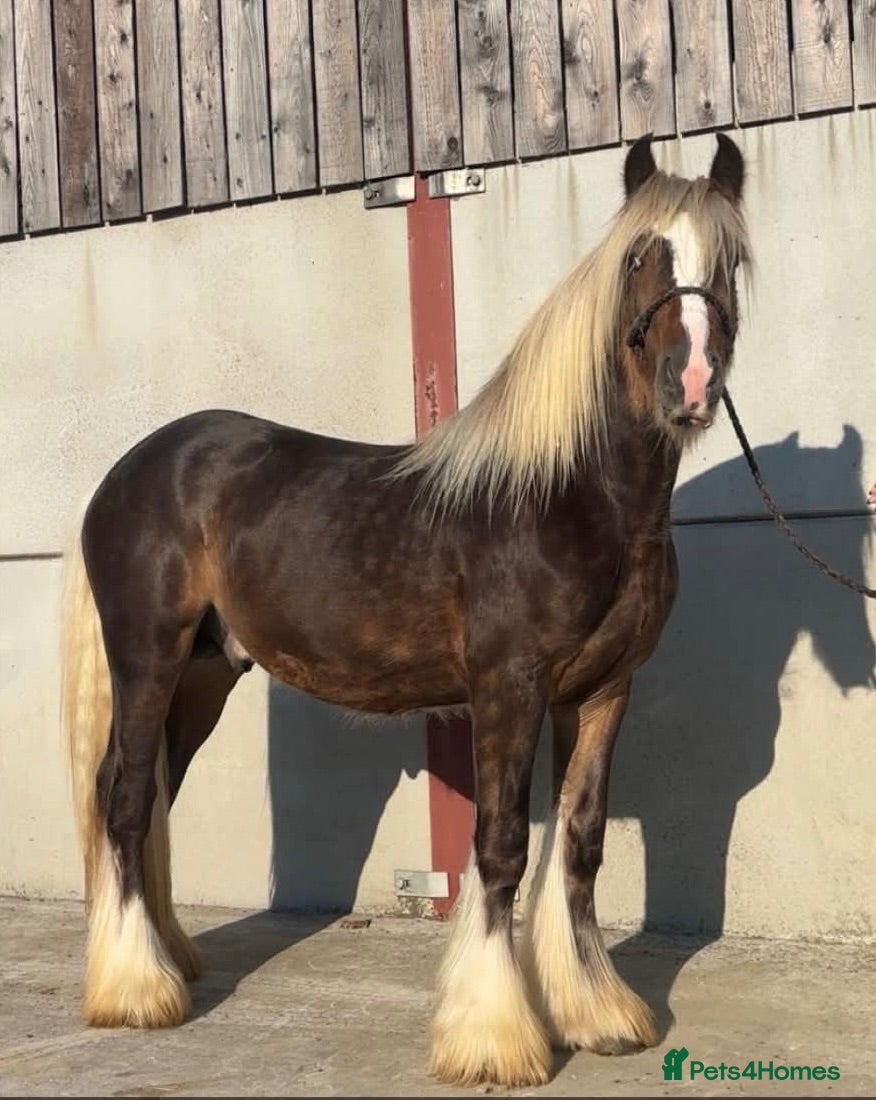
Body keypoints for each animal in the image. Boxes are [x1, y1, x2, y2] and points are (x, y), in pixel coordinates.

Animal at [60, 133, 751, 1088]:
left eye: (729, 261)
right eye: (641, 258)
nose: (691, 384)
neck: (571, 494)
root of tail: (126, 472)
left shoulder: (603, 693)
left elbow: (578, 844)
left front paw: (597, 1014)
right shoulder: (508, 689)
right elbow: (502, 847)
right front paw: (495, 1038)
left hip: (201, 680)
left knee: (151, 793)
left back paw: (168, 961)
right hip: (147, 662)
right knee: (125, 799)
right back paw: (136, 992)